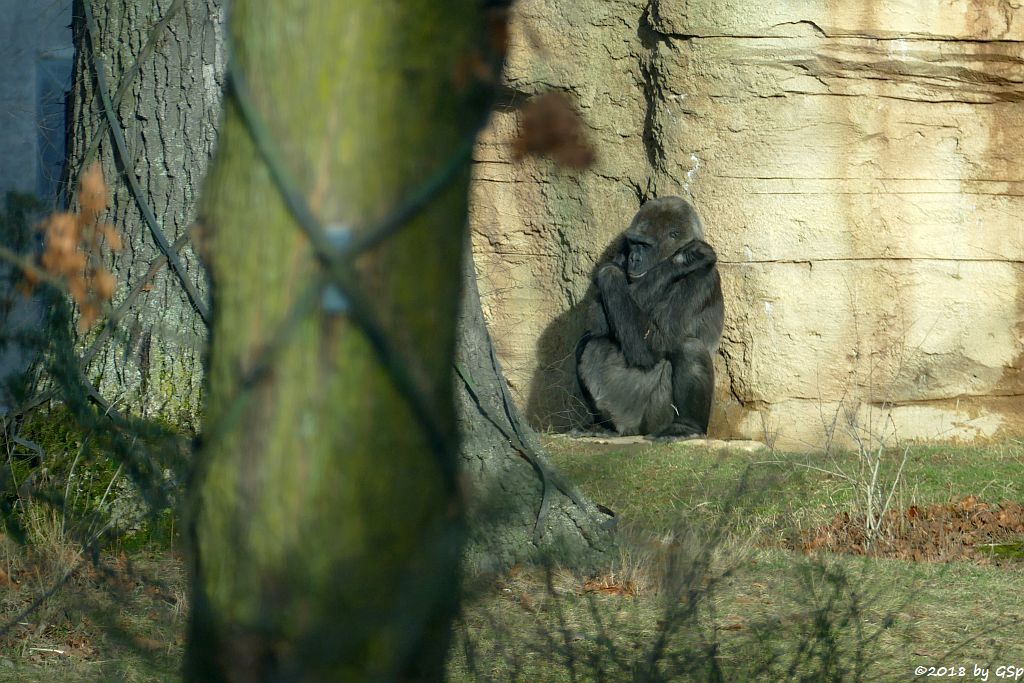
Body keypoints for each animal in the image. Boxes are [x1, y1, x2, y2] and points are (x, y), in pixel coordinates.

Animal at [577, 194, 729, 440]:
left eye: (645, 245)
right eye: (633, 243)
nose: (634, 259)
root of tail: (628, 429)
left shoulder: (701, 278)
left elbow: (658, 339)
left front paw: (684, 259)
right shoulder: (621, 250)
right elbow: (596, 315)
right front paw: (683, 259)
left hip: (652, 420)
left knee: (689, 348)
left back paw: (686, 427)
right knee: (586, 340)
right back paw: (604, 426)